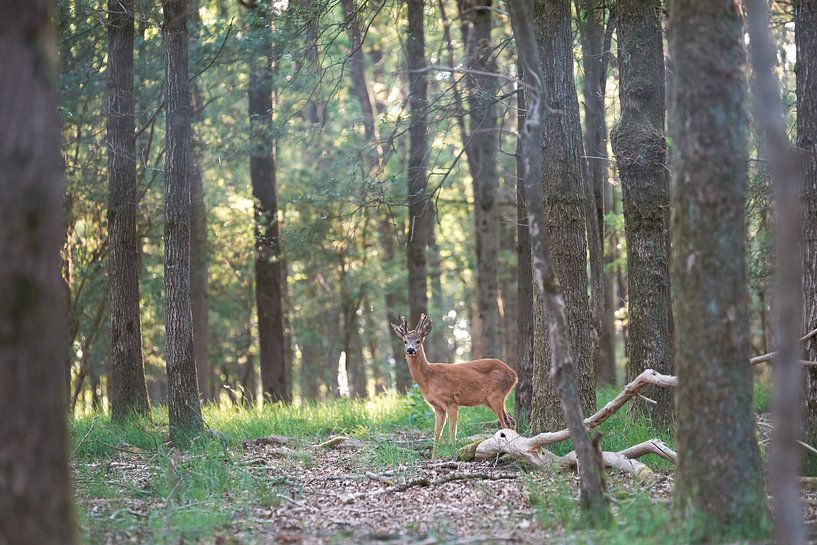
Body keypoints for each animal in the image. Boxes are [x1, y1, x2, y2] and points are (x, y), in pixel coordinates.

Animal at [391, 314, 518, 442]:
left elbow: (452, 433)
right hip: (489, 400)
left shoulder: (451, 400)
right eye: (405, 341)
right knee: (511, 421)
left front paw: (452, 446)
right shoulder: (437, 407)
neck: (429, 379)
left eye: (418, 341)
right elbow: (436, 435)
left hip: (496, 394)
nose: (410, 350)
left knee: (505, 423)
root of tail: (514, 374)